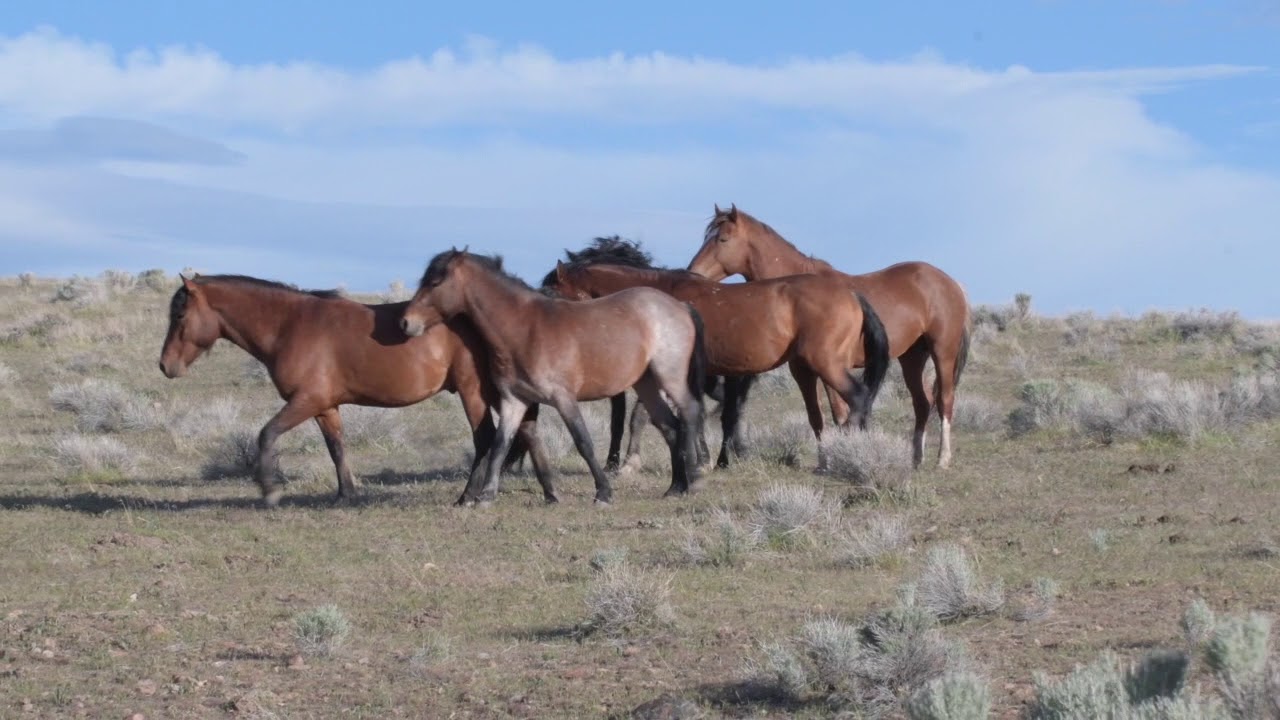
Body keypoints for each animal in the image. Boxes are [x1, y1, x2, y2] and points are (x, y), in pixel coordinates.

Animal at [158, 274, 554, 508]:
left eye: (180, 316)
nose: (165, 366)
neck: (290, 325)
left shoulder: (306, 401)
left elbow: (266, 434)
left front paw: (270, 490)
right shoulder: (325, 406)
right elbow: (337, 448)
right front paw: (346, 494)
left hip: (474, 392)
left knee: (486, 437)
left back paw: (469, 496)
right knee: (527, 430)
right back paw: (548, 492)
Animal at [399, 249, 707, 505]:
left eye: (435, 282)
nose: (406, 322)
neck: (524, 329)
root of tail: (680, 306)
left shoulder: (563, 398)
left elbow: (583, 443)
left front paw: (603, 492)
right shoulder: (514, 401)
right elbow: (500, 445)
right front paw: (486, 496)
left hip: (670, 377)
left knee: (690, 412)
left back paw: (695, 476)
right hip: (646, 384)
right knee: (670, 426)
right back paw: (675, 486)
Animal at [543, 237, 892, 468]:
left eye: (551, 292)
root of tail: (851, 294)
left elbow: (643, 415)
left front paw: (633, 463)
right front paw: (705, 458)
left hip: (825, 363)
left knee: (858, 397)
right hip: (806, 368)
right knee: (821, 413)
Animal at [688, 204, 971, 468]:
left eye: (722, 239)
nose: (693, 272)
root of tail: (951, 282)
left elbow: (840, 413)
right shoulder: (805, 367)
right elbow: (822, 415)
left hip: (943, 352)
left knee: (944, 400)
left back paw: (942, 458)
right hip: (912, 358)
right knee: (922, 403)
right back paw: (916, 458)